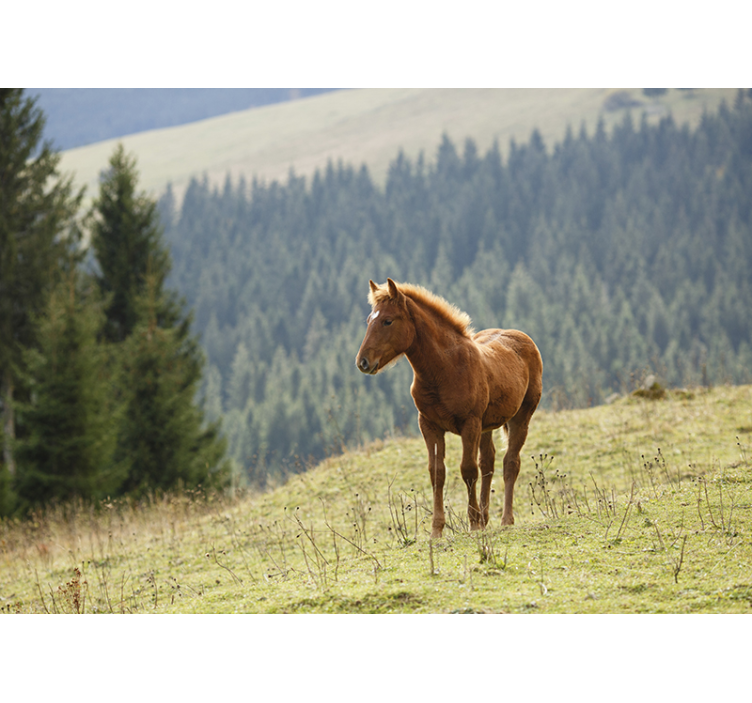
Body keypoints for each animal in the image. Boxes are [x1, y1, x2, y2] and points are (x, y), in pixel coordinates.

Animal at [356, 278, 542, 539]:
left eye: (388, 321)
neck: (445, 369)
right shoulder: (429, 425)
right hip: (487, 426)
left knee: (510, 463)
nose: (362, 362)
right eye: (368, 320)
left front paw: (473, 524)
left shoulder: (469, 424)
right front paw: (437, 530)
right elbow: (437, 472)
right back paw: (486, 518)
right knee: (488, 463)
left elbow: (468, 470)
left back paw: (506, 520)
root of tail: (523, 337)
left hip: (520, 417)